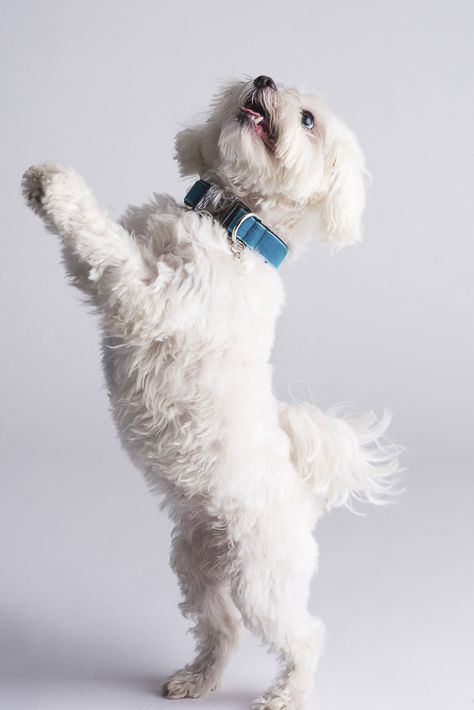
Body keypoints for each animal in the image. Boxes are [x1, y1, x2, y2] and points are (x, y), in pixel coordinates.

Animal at [22, 75, 400, 708]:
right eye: (257, 81)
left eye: (307, 120)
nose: (263, 80)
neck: (231, 223)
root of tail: (303, 495)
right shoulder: (107, 284)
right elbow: (92, 256)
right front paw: (38, 186)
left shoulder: (150, 297)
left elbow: (109, 248)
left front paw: (60, 187)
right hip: (196, 565)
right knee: (221, 628)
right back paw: (197, 679)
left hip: (261, 578)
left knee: (305, 635)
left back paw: (287, 693)